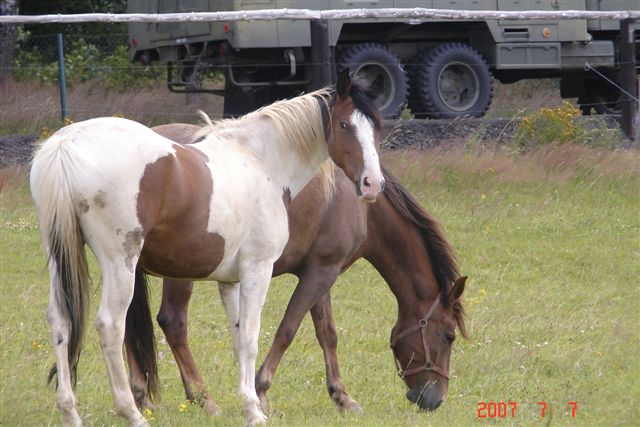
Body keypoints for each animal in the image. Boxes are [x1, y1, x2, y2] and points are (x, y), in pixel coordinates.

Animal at [31, 71, 384, 427]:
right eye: (344, 124)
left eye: (377, 127)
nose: (373, 184)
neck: (261, 161)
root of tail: (65, 144)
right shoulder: (258, 269)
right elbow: (252, 336)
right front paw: (256, 410)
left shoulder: (231, 281)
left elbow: (239, 337)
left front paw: (248, 404)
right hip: (120, 263)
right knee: (111, 326)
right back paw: (133, 412)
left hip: (60, 258)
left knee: (60, 320)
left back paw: (70, 412)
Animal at [124, 123, 464, 418]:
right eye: (449, 336)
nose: (435, 399)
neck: (357, 204)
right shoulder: (319, 274)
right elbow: (288, 329)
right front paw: (261, 392)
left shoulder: (323, 272)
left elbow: (327, 333)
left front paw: (342, 396)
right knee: (173, 322)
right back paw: (203, 398)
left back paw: (140, 396)